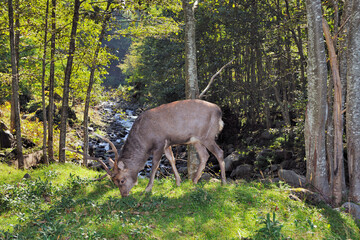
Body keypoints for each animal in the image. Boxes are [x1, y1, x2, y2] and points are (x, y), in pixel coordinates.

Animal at [66, 99, 226, 197]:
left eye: (121, 180)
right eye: (114, 182)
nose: (124, 195)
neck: (145, 140)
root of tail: (219, 112)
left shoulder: (159, 143)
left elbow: (155, 165)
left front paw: (148, 188)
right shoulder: (167, 143)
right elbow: (172, 160)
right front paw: (178, 182)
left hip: (208, 136)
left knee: (219, 152)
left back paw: (223, 182)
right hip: (196, 140)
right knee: (205, 155)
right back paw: (193, 181)